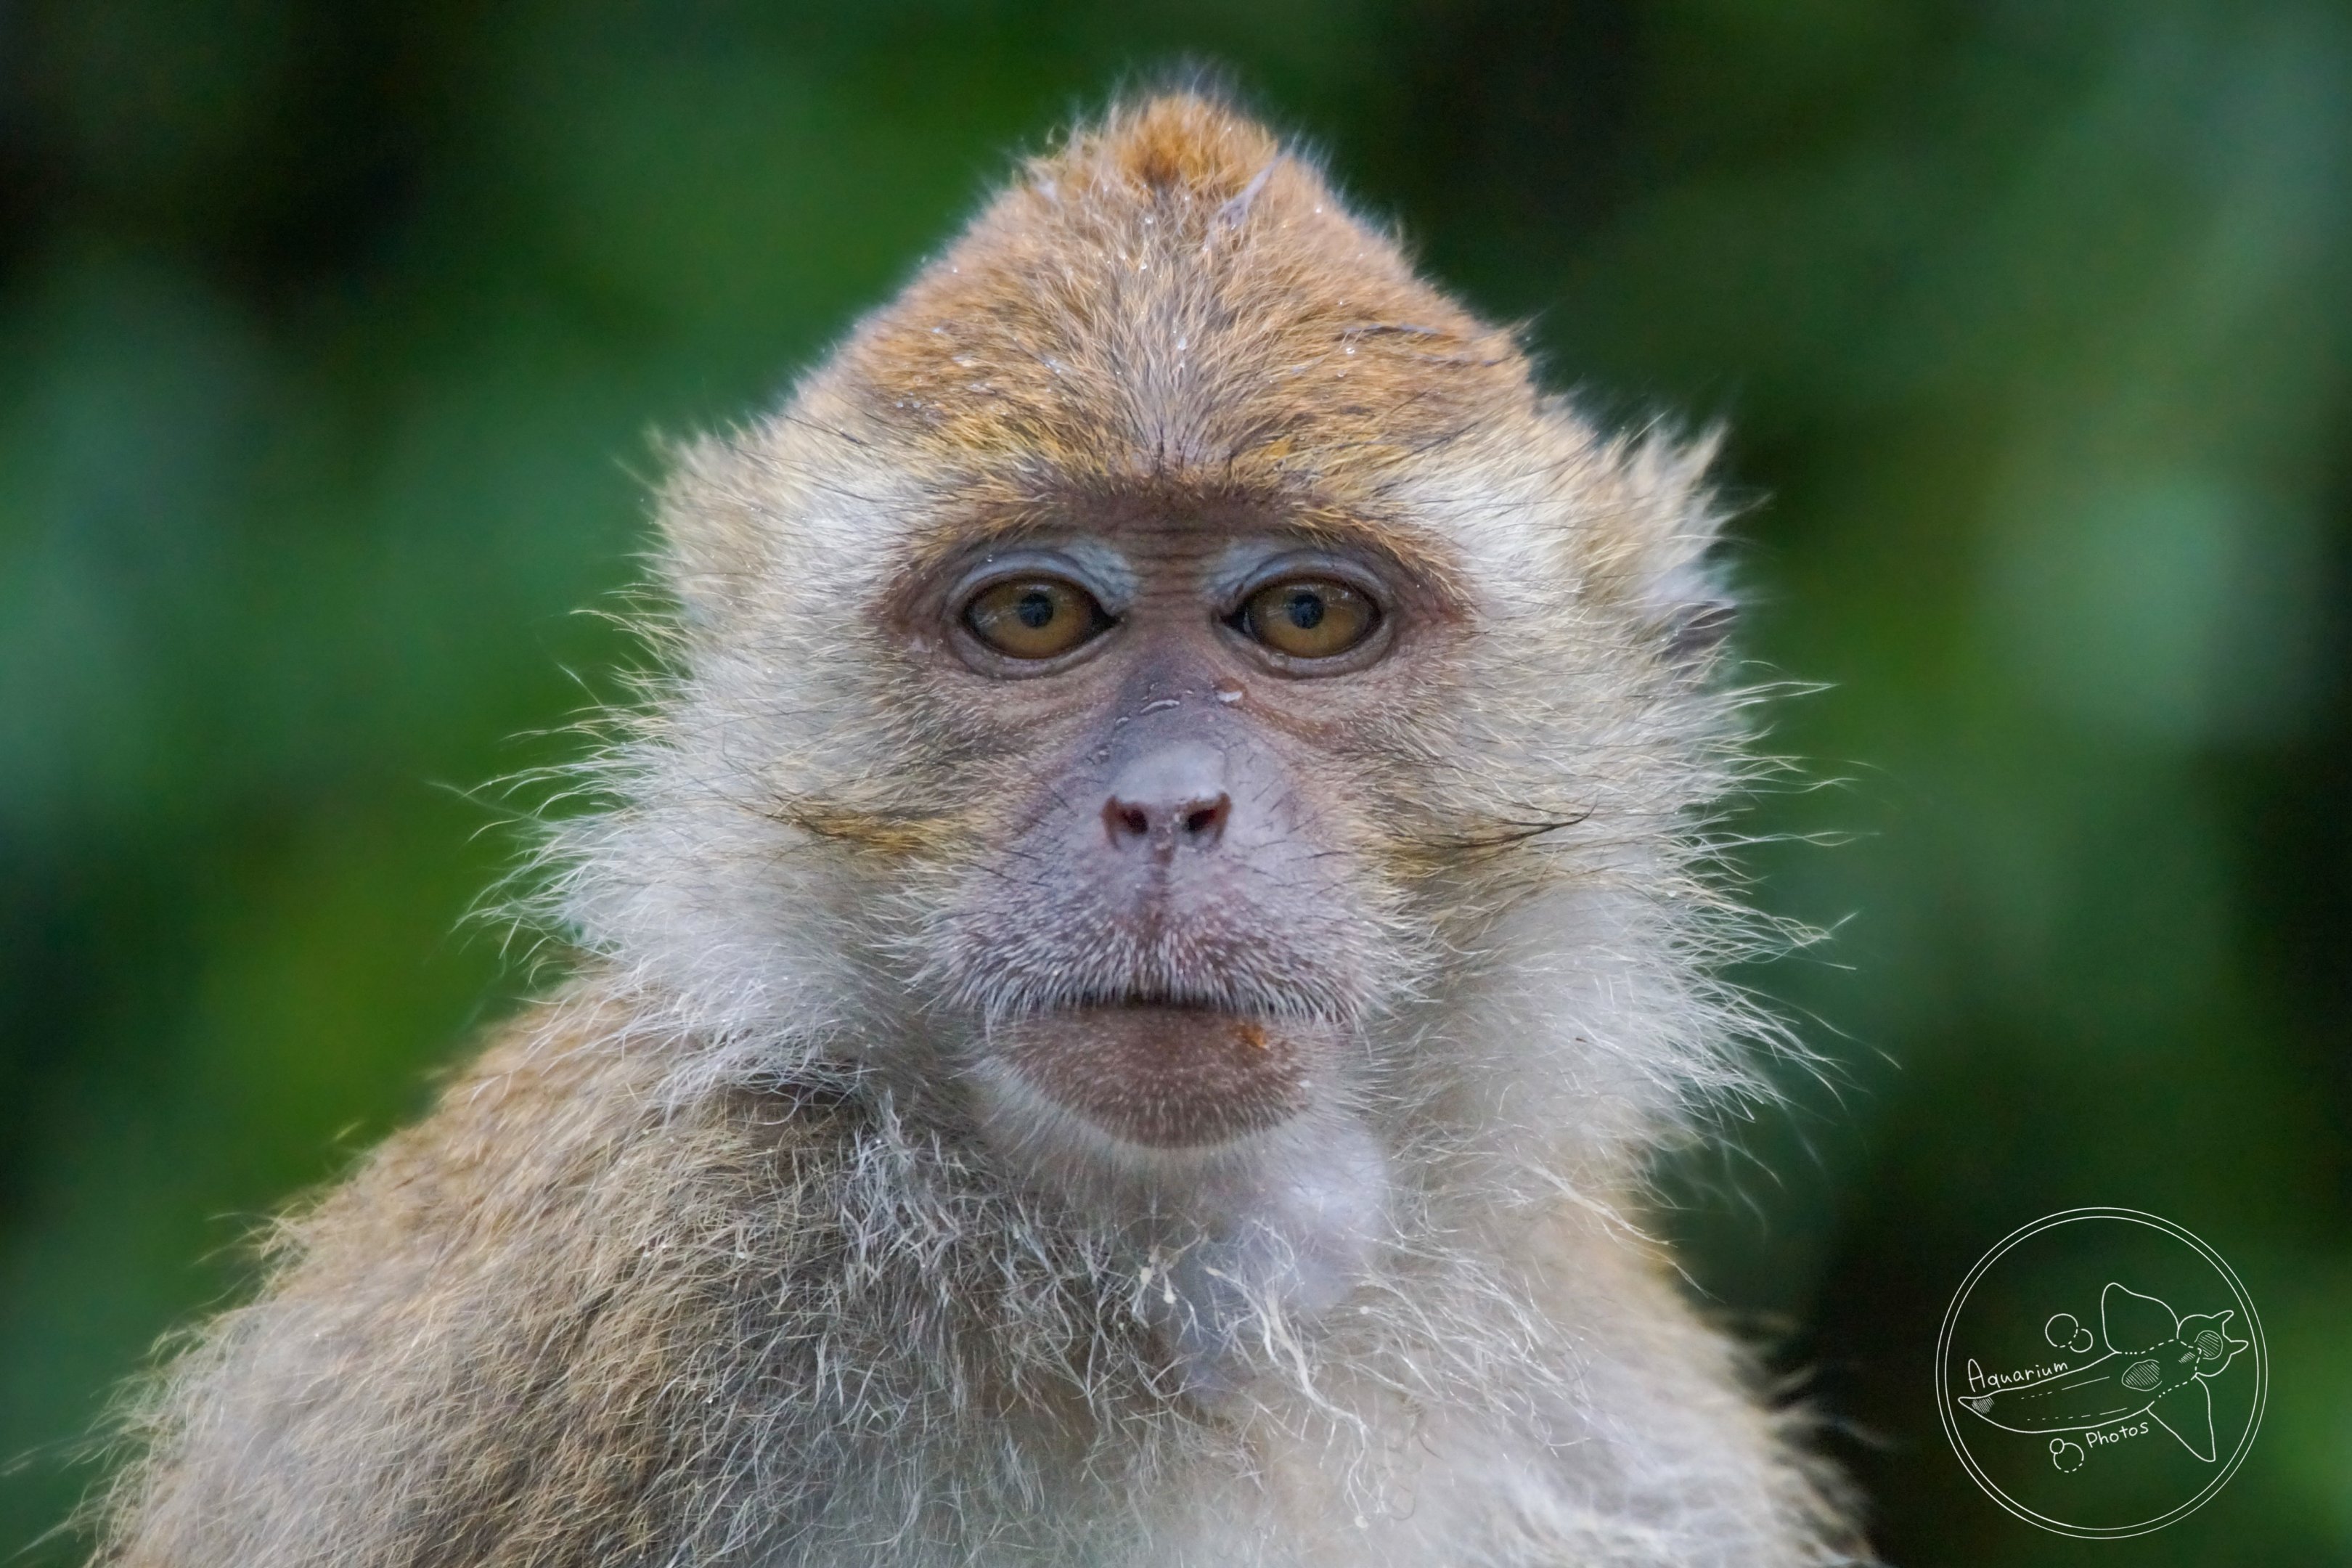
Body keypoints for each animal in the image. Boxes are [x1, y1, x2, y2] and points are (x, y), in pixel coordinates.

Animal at [88, 93, 1870, 1567]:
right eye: (1033, 614)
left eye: (1304, 614)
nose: (1166, 804)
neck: (1166, 1282)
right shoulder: (654, 1280)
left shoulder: (1628, 1438)